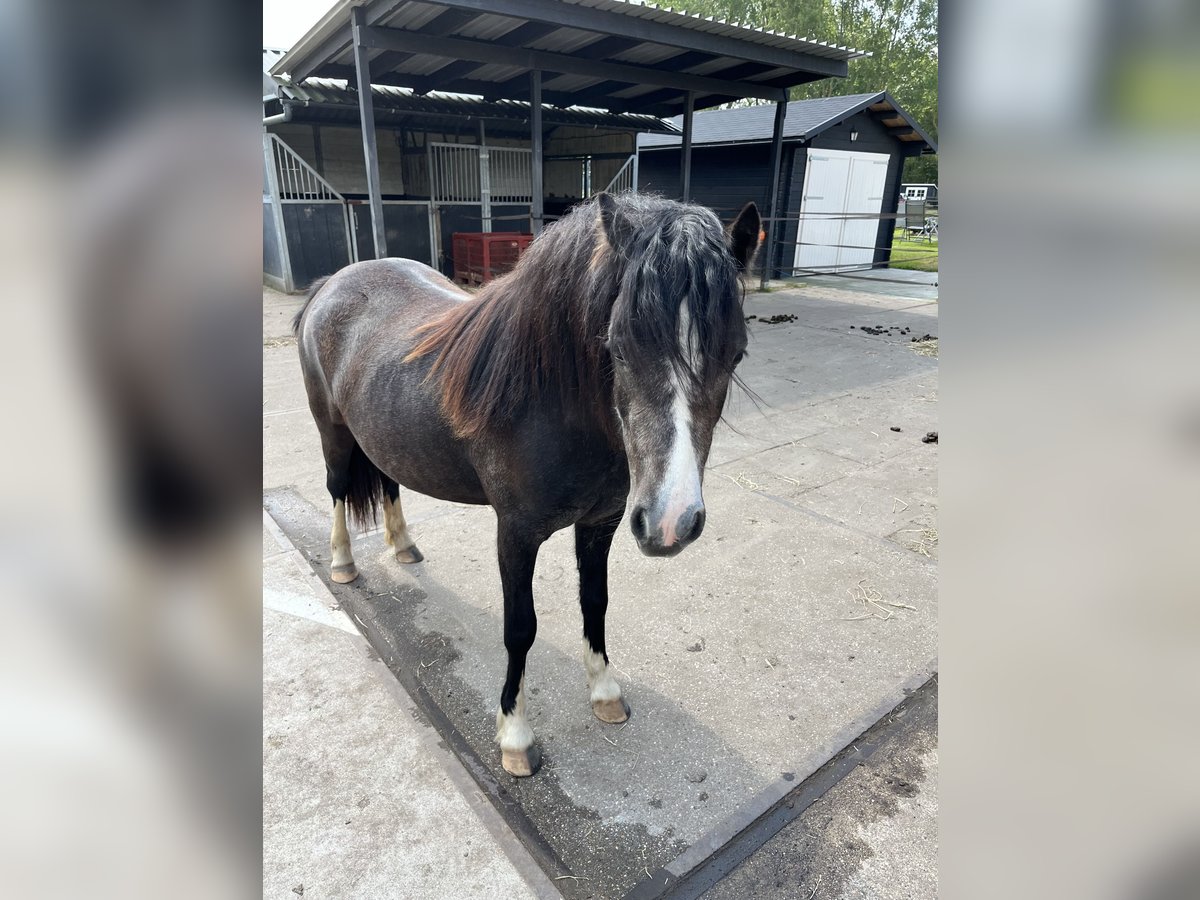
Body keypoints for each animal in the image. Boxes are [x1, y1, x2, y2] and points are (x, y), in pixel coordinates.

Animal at [292, 194, 758, 777]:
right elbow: (521, 628)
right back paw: (342, 563)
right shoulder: (514, 534)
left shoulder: (600, 523)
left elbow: (595, 602)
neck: (551, 399)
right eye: (618, 347)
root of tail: (331, 283)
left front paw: (605, 692)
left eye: (735, 354)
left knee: (391, 484)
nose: (671, 522)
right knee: (336, 490)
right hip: (331, 430)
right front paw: (514, 735)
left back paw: (403, 547)